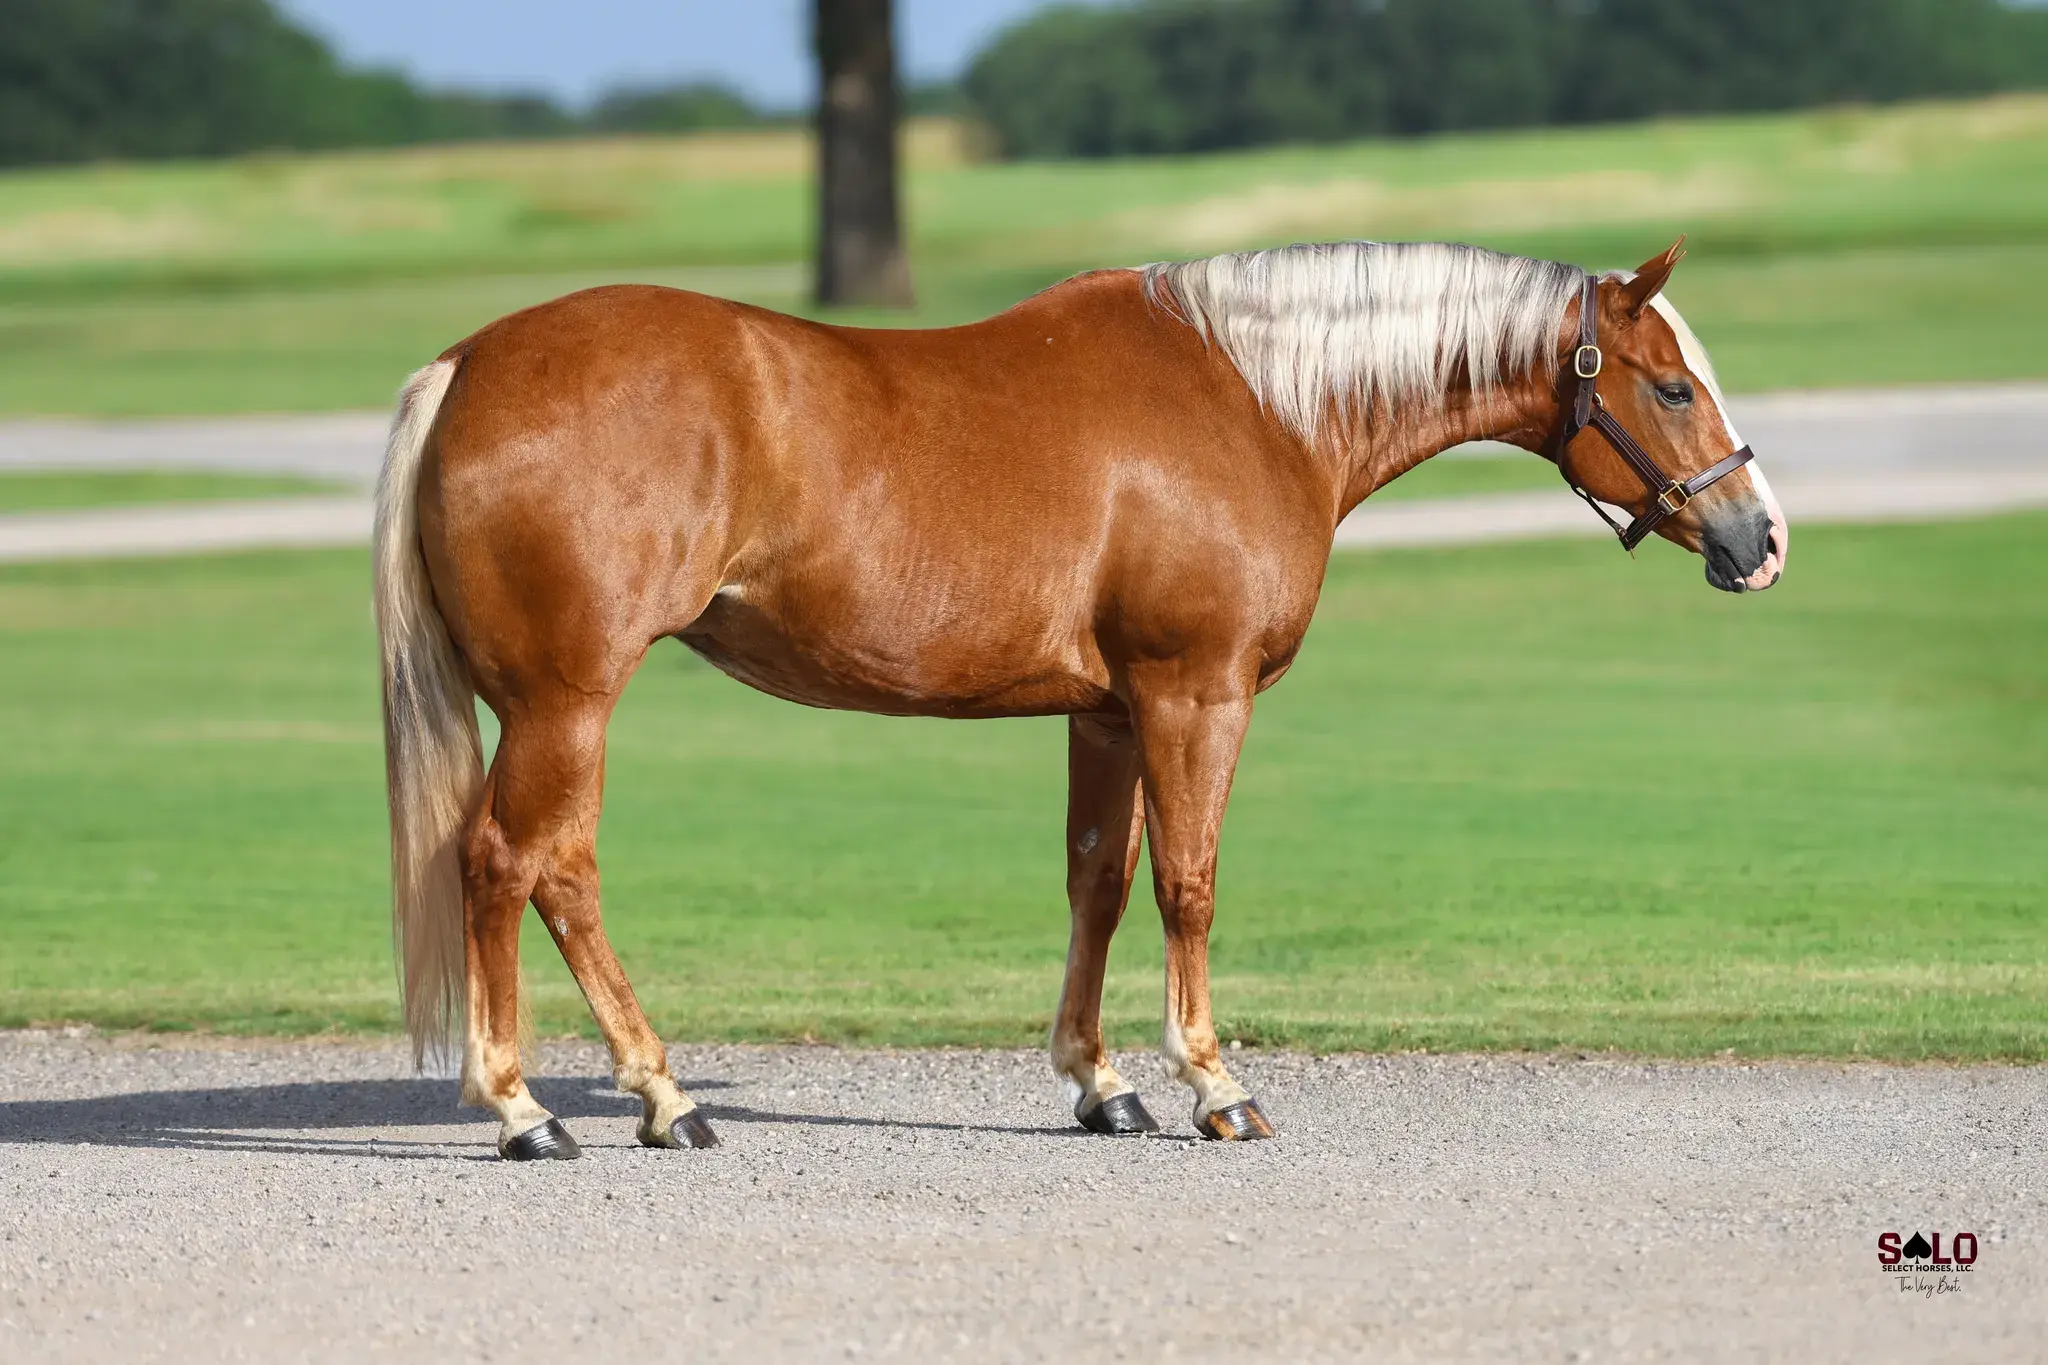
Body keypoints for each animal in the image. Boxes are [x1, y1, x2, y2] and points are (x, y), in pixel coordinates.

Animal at [373, 237, 1787, 1160]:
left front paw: (1100, 1083)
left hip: (558, 711)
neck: (1252, 398)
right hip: (565, 702)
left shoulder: (1108, 710)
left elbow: (1097, 880)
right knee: (510, 861)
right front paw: (1213, 1085)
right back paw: (533, 1108)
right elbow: (1188, 885)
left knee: (556, 872)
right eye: (1670, 384)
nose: (1758, 538)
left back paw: (652, 1094)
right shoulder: (1193, 696)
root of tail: (467, 364)